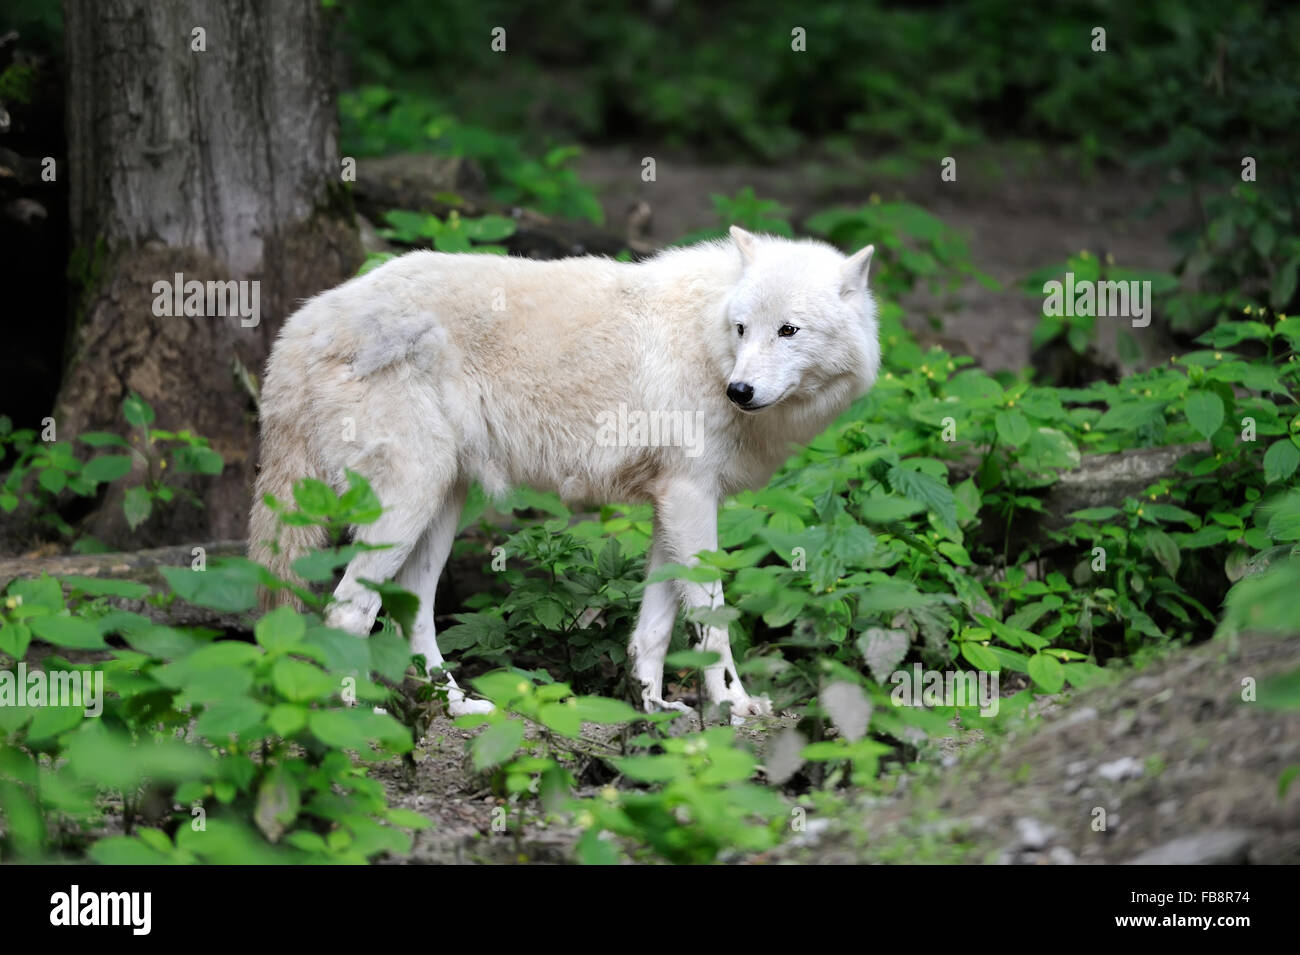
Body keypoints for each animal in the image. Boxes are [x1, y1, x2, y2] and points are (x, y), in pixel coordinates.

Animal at [248, 223, 878, 717]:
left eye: (789, 330)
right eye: (743, 328)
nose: (739, 391)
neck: (707, 341)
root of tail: (301, 324)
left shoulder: (674, 503)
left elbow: (654, 626)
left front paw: (652, 705)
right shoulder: (690, 498)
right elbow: (712, 619)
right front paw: (733, 704)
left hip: (441, 507)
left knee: (412, 615)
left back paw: (455, 704)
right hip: (408, 502)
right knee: (346, 612)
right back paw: (362, 720)